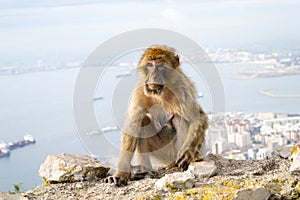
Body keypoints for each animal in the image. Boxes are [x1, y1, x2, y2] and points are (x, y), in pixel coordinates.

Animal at [106, 45, 209, 186]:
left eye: (160, 66)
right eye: (150, 65)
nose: (153, 76)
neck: (160, 92)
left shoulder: (182, 89)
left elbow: (198, 118)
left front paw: (187, 151)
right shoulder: (140, 91)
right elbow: (132, 127)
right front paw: (120, 174)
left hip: (179, 152)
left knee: (179, 118)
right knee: (143, 120)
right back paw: (145, 170)